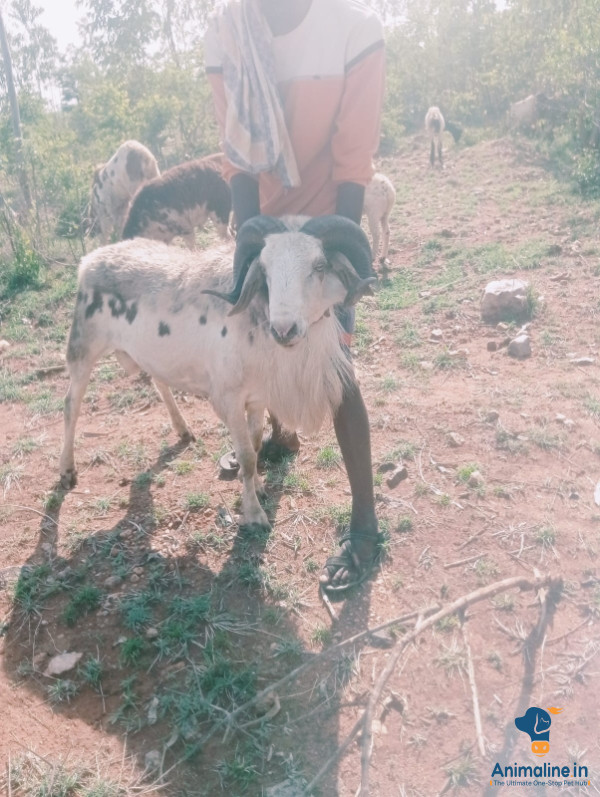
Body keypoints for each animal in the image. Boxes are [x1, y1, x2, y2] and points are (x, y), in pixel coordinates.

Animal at [59, 215, 375, 530]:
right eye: (264, 269)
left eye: (319, 266)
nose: (284, 330)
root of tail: (91, 259)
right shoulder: (227, 400)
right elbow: (246, 456)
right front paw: (255, 514)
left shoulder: (257, 397)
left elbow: (256, 443)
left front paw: (258, 488)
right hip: (82, 347)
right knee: (71, 405)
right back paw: (67, 471)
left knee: (159, 382)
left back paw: (183, 430)